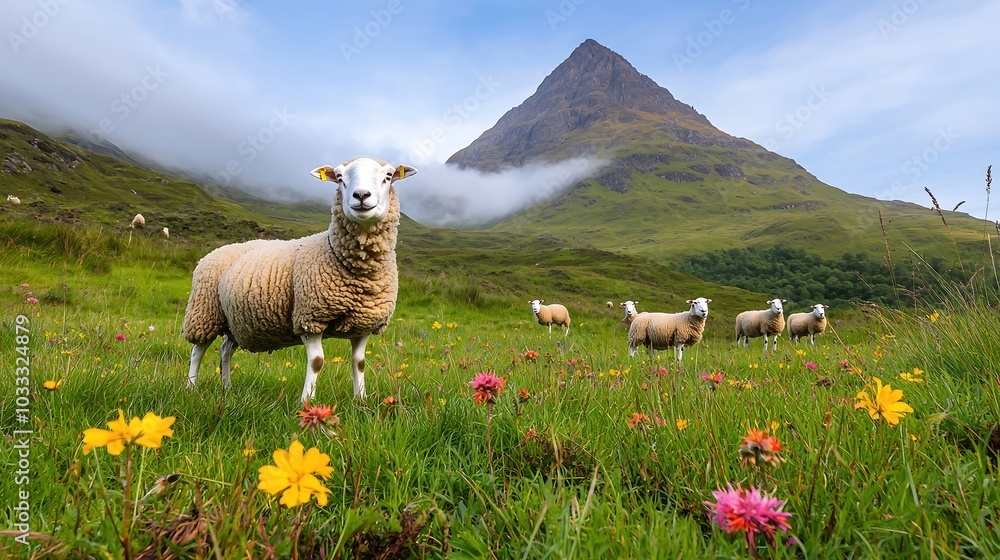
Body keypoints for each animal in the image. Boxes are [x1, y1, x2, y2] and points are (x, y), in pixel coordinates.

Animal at [182, 156, 416, 403]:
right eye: (339, 177)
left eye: (388, 176)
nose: (361, 195)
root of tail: (213, 252)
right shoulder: (309, 317)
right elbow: (317, 361)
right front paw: (307, 402)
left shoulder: (364, 323)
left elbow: (359, 362)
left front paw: (361, 401)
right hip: (204, 312)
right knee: (197, 351)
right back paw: (191, 387)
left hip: (234, 321)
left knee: (226, 349)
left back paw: (227, 387)